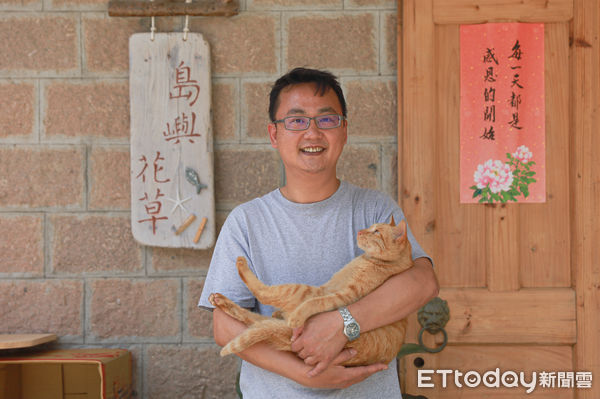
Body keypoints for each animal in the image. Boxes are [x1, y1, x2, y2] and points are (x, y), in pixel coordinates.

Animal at [207, 217, 412, 368]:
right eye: (370, 227)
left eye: (376, 231)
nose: (360, 231)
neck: (373, 261)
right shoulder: (327, 287)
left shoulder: (342, 296)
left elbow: (316, 302)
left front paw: (296, 315)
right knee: (253, 319)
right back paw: (220, 300)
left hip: (300, 291)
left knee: (265, 295)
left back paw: (241, 267)